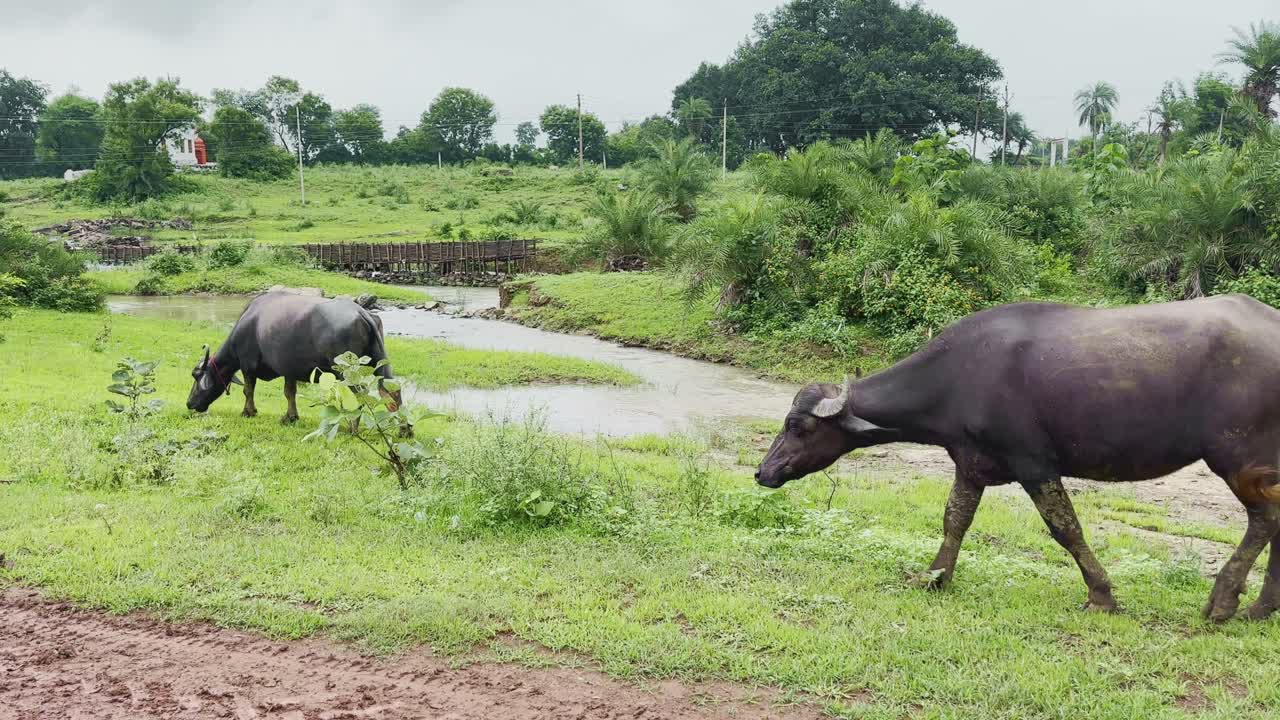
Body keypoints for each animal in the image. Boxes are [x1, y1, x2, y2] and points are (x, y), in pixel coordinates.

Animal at [187, 292, 403, 423]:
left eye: (197, 376)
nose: (189, 403)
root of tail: (361, 312)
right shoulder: (289, 370)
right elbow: (289, 393)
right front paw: (290, 417)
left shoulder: (248, 366)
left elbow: (248, 390)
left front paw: (248, 412)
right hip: (380, 360)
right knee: (391, 390)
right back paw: (403, 430)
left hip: (346, 370)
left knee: (358, 393)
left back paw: (352, 426)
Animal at [757, 295, 1280, 621]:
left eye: (797, 426)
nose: (763, 472)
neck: (958, 375)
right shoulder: (970, 464)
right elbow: (955, 519)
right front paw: (934, 576)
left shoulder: (1034, 465)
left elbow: (1066, 529)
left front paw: (1101, 595)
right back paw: (1261, 607)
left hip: (1239, 458)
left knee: (1265, 520)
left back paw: (1225, 601)